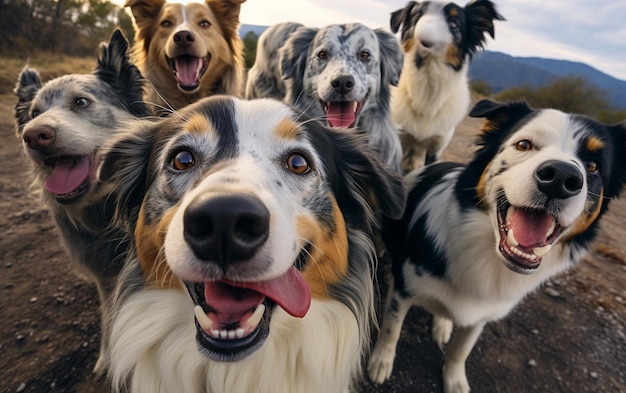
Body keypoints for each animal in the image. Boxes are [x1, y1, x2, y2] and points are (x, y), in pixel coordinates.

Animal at [13, 29, 149, 372]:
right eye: (34, 113)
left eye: (82, 102)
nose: (34, 136)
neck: (103, 212)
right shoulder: (103, 272)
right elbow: (110, 312)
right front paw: (108, 357)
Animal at [366, 99, 624, 392]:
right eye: (523, 145)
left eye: (592, 166)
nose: (560, 177)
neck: (487, 256)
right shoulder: (404, 291)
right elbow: (391, 328)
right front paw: (381, 362)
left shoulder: (482, 314)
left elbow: (462, 350)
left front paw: (455, 380)